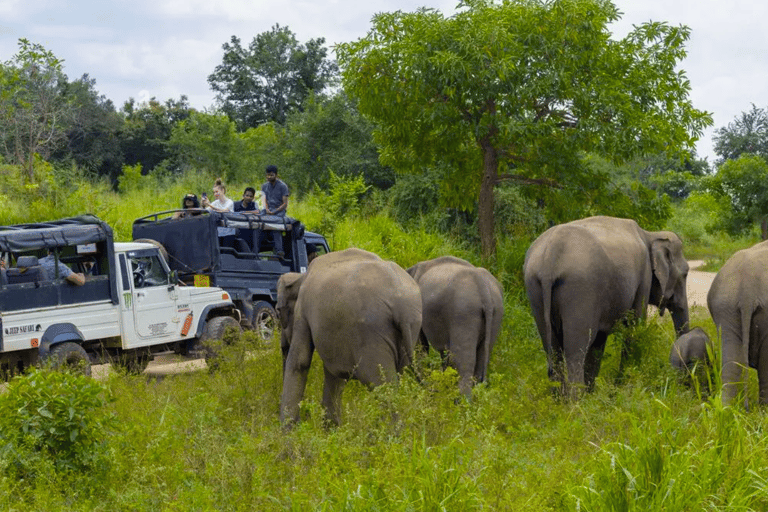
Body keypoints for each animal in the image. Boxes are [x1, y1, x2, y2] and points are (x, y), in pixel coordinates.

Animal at [276, 247, 420, 424]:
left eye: (278, 312)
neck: (300, 277)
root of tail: (402, 309)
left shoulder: (303, 311)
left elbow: (300, 361)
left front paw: (288, 429)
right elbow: (335, 375)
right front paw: (331, 428)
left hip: (371, 335)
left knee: (382, 386)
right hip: (412, 327)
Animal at [404, 255, 508, 396]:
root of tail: (483, 289)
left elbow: (420, 345)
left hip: (464, 312)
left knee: (463, 361)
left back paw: (461, 400)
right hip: (496, 313)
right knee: (481, 359)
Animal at [520, 214, 688, 394]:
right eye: (685, 274)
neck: (649, 234)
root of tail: (549, 259)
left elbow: (599, 344)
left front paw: (594, 393)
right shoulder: (644, 277)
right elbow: (634, 328)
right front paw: (624, 388)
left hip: (534, 288)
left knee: (552, 349)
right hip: (580, 289)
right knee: (575, 351)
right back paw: (576, 400)